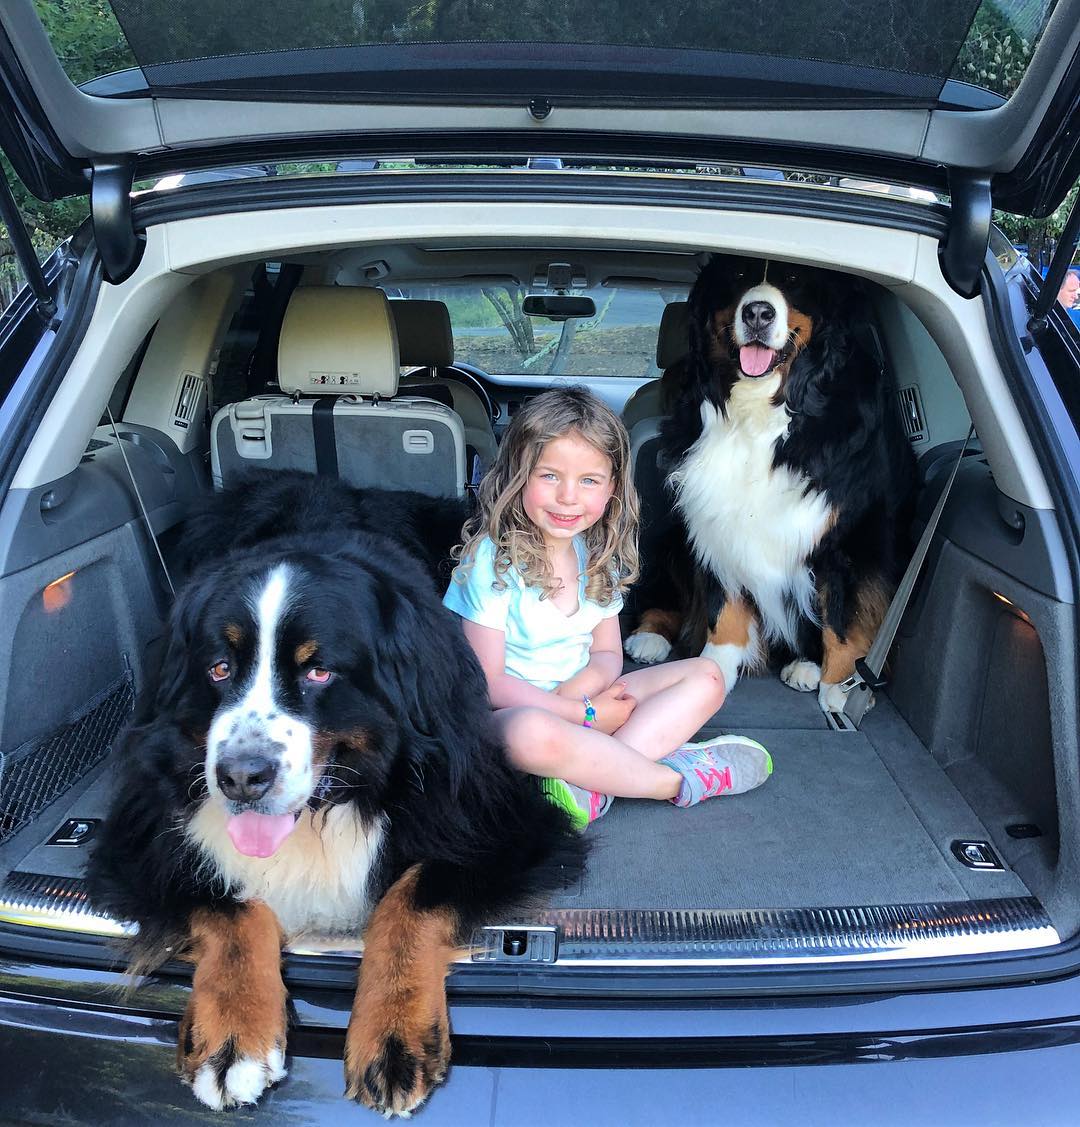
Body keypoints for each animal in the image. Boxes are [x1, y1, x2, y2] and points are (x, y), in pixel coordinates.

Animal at [89, 468, 586, 1117]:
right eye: (220, 668)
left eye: (318, 671)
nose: (240, 777)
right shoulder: (140, 836)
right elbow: (227, 902)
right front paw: (232, 1039)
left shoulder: (500, 822)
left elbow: (410, 898)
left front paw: (394, 1036)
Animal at [631, 256, 915, 712]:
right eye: (737, 274)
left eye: (795, 277)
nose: (758, 314)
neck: (762, 409)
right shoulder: (713, 519)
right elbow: (723, 606)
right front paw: (712, 669)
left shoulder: (850, 538)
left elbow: (844, 616)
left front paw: (842, 687)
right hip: (674, 536)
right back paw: (649, 636)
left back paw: (808, 667)